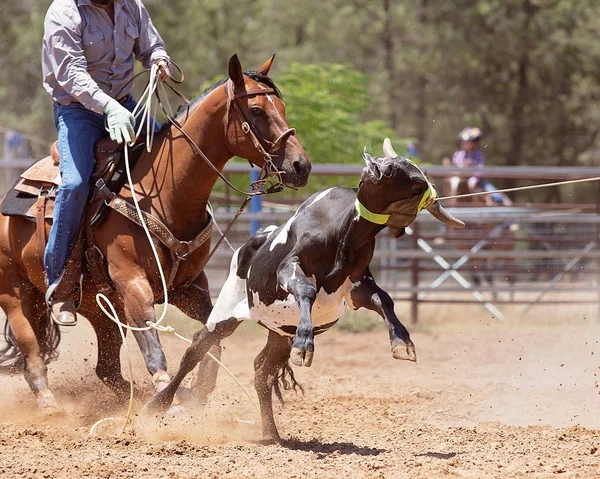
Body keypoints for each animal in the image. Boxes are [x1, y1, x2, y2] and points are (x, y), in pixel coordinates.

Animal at [0, 52, 310, 412]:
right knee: (32, 351)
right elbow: (152, 342)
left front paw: (197, 388)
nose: (301, 166)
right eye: (257, 110)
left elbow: (212, 337)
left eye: (282, 107)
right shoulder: (132, 283)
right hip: (16, 294)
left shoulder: (188, 288)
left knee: (106, 369)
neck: (167, 195)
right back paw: (51, 403)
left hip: (100, 309)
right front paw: (166, 396)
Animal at [148, 139, 466, 442]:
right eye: (396, 167)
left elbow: (384, 300)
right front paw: (305, 344)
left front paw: (402, 343)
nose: (380, 165)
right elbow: (307, 291)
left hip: (278, 334)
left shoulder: (358, 285)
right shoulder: (289, 268)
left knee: (262, 371)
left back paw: (271, 433)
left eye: (416, 182)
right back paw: (158, 403)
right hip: (225, 315)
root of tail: (251, 243)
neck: (342, 235)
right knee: (196, 350)